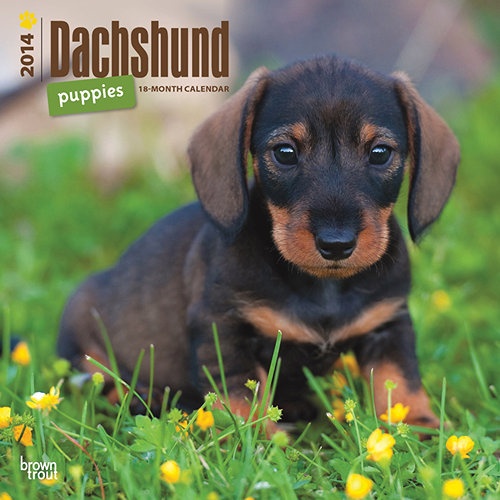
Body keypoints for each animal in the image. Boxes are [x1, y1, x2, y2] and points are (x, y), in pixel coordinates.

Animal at [57, 55, 459, 428]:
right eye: (285, 152)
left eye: (380, 153)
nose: (336, 244)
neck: (322, 288)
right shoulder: (223, 332)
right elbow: (242, 400)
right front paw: (260, 443)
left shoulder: (388, 324)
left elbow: (400, 382)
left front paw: (418, 430)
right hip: (82, 326)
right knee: (101, 381)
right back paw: (142, 399)